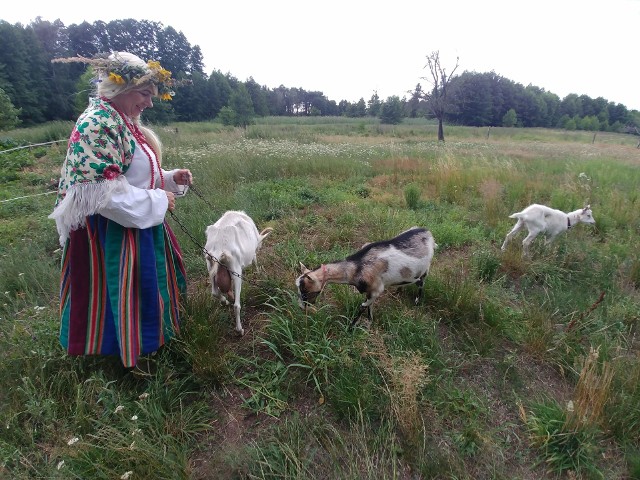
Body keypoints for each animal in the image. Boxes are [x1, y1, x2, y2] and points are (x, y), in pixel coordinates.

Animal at [296, 226, 436, 326]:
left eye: (305, 291)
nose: (302, 307)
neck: (357, 267)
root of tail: (428, 232)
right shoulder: (370, 291)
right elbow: (369, 306)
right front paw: (369, 320)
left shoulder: (376, 289)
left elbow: (362, 306)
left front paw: (351, 327)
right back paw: (398, 291)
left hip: (426, 269)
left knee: (421, 283)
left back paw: (417, 301)